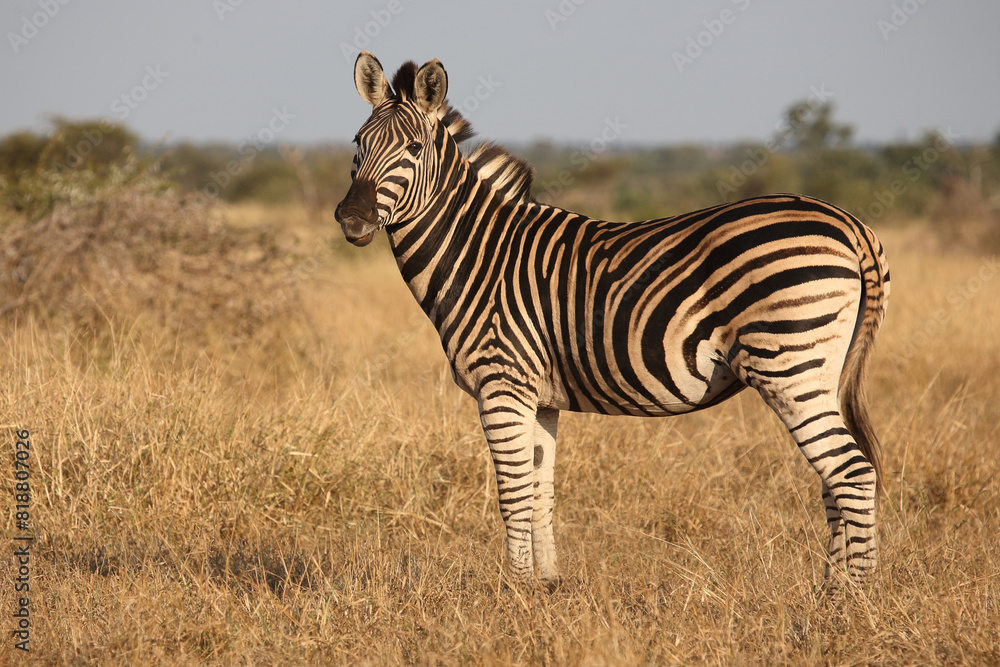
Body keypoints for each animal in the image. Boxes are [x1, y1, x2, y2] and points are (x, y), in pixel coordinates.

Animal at [335, 52, 890, 591]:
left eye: (412, 148)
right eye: (358, 144)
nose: (350, 218)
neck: (478, 253)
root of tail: (850, 223)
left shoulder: (502, 384)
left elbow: (513, 496)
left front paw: (513, 592)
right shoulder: (540, 398)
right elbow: (540, 492)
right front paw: (546, 586)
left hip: (788, 366)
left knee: (852, 473)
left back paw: (851, 598)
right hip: (820, 368)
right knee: (834, 478)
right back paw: (830, 588)